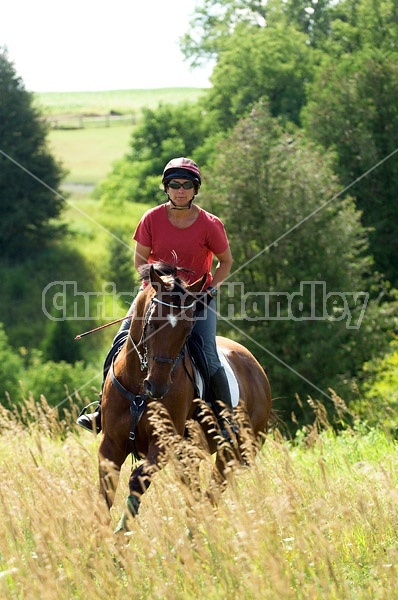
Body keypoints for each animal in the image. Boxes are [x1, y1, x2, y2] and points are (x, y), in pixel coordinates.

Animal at [97, 262, 270, 528]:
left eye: (187, 330)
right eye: (152, 323)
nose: (158, 386)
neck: (139, 388)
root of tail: (257, 370)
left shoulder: (164, 443)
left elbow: (138, 479)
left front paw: (121, 532)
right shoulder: (110, 444)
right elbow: (105, 495)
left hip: (231, 452)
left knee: (210, 495)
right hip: (189, 455)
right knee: (196, 494)